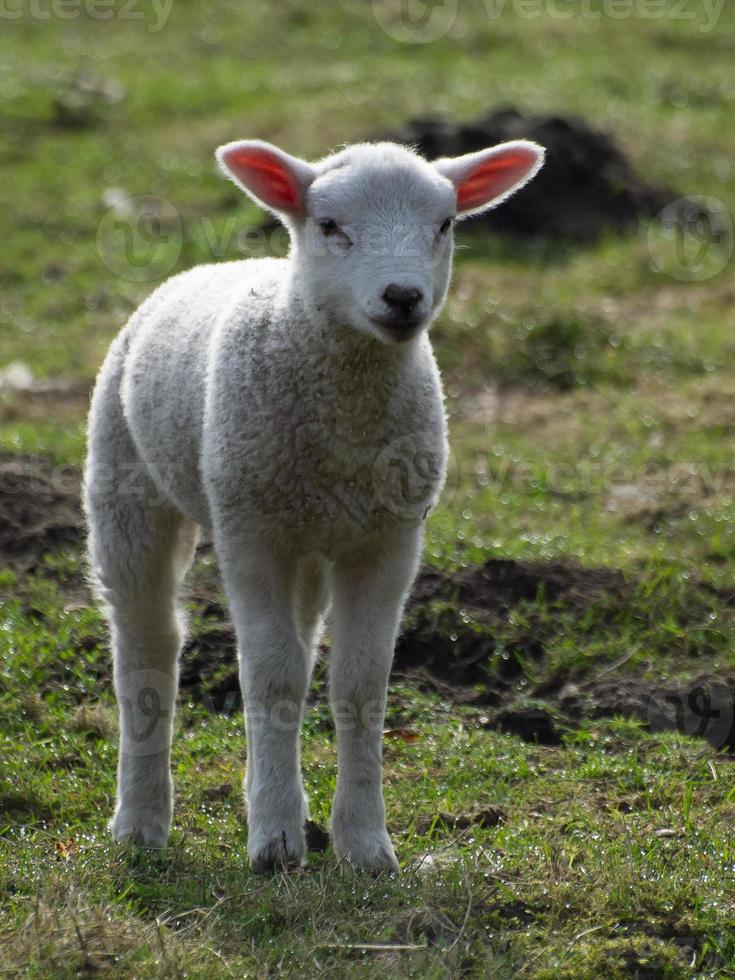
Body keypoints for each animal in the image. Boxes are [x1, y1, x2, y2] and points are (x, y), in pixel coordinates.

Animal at [85, 134, 548, 868]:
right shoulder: (250, 531)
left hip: (306, 535)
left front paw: (363, 842)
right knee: (147, 647)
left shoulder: (389, 540)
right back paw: (141, 822)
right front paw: (274, 843)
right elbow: (270, 676)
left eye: (445, 224)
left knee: (296, 649)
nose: (402, 296)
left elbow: (358, 684)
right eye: (330, 225)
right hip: (126, 484)